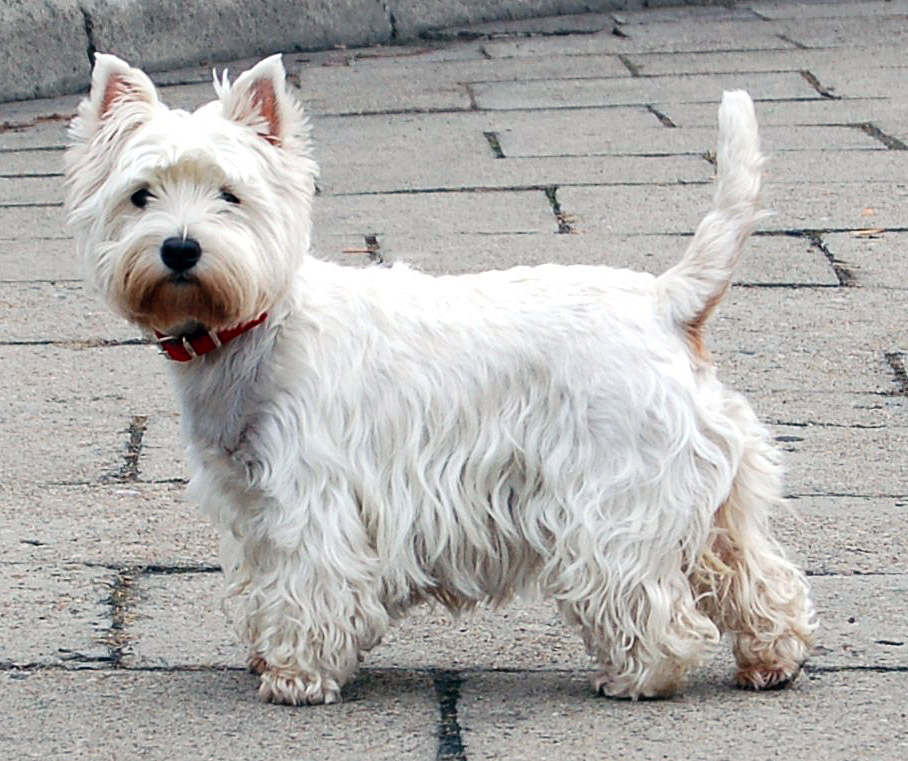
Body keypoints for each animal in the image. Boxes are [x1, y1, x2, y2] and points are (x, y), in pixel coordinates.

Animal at [65, 53, 816, 708]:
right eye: (139, 196)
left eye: (231, 195)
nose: (180, 248)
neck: (252, 327)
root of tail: (666, 300)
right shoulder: (248, 499)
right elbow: (262, 581)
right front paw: (266, 653)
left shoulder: (312, 495)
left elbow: (312, 583)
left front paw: (297, 676)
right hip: (716, 490)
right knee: (757, 574)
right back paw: (771, 661)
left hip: (617, 489)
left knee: (647, 595)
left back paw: (637, 677)